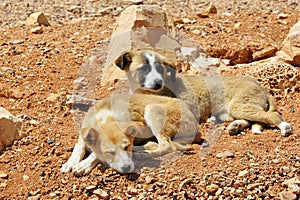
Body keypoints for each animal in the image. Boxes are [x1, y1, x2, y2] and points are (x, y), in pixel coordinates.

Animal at [61, 92, 200, 175]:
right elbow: (79, 146)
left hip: (152, 109)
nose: (127, 168)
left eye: (126, 146)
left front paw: (84, 165)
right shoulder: (84, 131)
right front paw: (70, 163)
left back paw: (142, 154)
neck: (105, 117)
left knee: (166, 145)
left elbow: (95, 154)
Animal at [115, 50, 292, 137]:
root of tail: (261, 87)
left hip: (240, 105)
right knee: (252, 120)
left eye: (160, 68)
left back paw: (285, 128)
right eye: (143, 69)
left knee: (272, 116)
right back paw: (235, 126)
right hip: (233, 110)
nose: (159, 83)